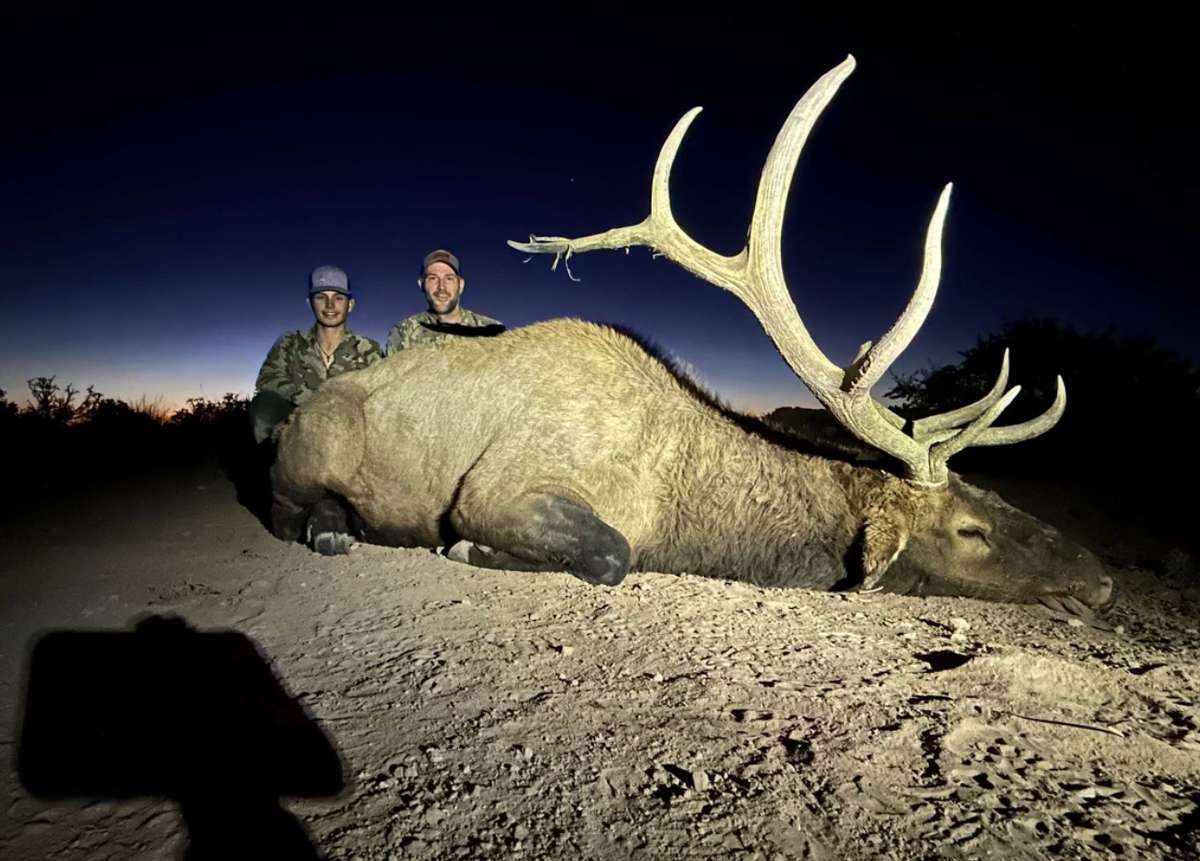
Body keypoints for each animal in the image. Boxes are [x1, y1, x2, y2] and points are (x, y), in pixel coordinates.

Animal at [270, 53, 1113, 618]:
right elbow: (610, 552)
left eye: (992, 494)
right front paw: (464, 549)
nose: (1102, 578)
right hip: (304, 453)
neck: (684, 502)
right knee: (289, 508)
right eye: (971, 529)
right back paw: (336, 529)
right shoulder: (501, 488)